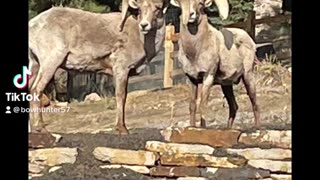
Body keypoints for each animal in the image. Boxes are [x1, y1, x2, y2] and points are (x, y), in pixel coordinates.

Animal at [170, 0, 260, 129]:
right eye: (183, 4)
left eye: (200, 3)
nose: (191, 14)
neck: (194, 53)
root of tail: (250, 40)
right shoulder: (191, 79)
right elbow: (192, 105)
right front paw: (192, 127)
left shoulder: (208, 76)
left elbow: (203, 105)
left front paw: (202, 128)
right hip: (226, 85)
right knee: (233, 107)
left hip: (248, 76)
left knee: (254, 102)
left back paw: (257, 127)